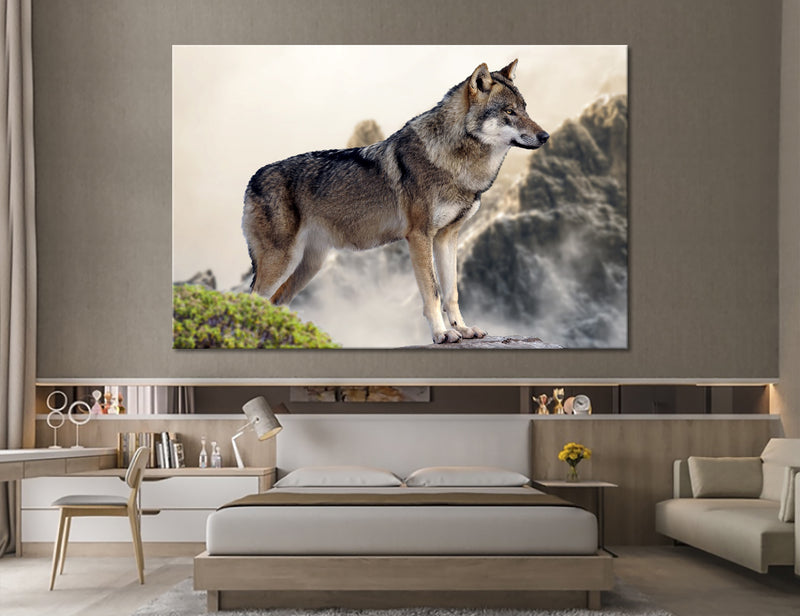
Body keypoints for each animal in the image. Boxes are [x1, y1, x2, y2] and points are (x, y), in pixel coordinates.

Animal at [243, 59, 548, 344]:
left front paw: (463, 329)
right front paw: (442, 334)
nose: (545, 136)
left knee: (276, 303)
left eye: (525, 109)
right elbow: (433, 292)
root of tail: (251, 180)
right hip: (283, 261)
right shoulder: (420, 236)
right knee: (252, 300)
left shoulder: (447, 237)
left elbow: (452, 292)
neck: (455, 162)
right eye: (509, 111)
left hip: (308, 266)